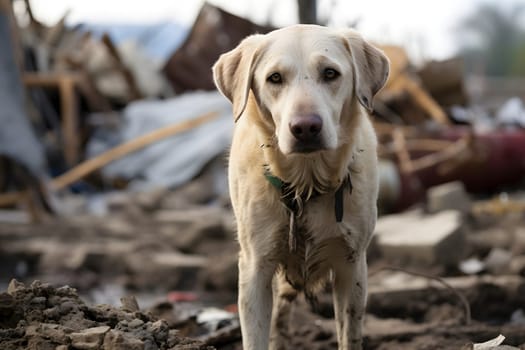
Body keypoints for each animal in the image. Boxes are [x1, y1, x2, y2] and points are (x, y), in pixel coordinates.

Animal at [211, 25, 386, 350]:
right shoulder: (254, 268)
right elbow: (256, 336)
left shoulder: (352, 265)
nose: (305, 127)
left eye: (330, 73)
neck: (306, 182)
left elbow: (349, 334)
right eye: (275, 78)